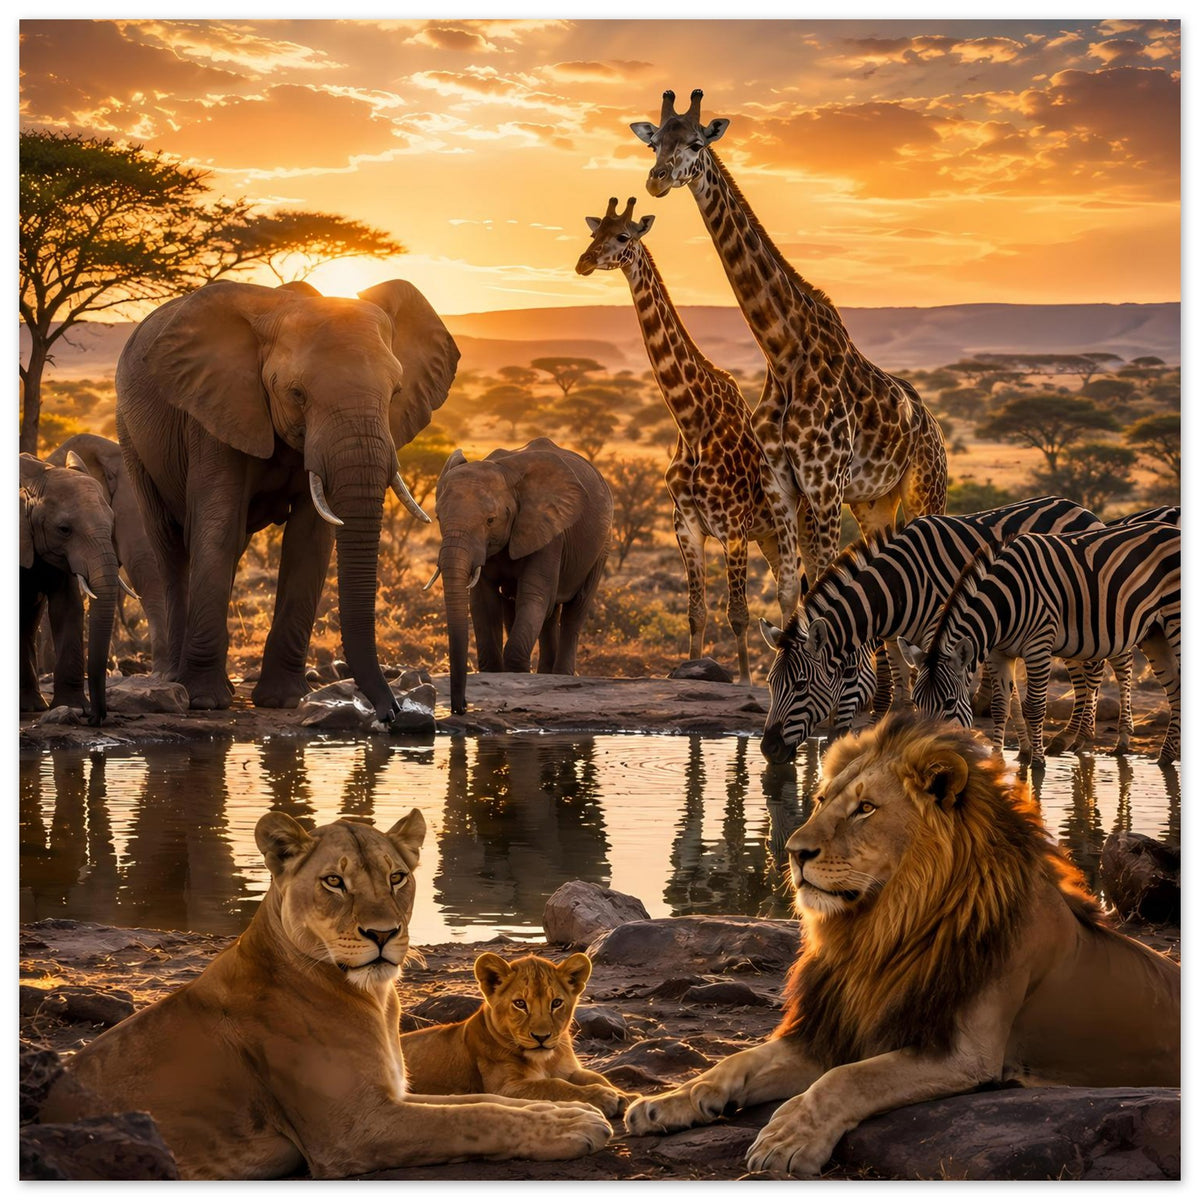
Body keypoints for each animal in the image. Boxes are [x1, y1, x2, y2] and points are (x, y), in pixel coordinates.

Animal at [758, 496, 1102, 762]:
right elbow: (902, 696)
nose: (768, 750)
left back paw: (1077, 738)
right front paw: (1026, 750)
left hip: (1078, 614)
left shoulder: (940, 632)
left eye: (801, 685)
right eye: (771, 683)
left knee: (1092, 671)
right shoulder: (897, 639)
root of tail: (1080, 507)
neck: (897, 586)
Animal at [909, 521, 1180, 766]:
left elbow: (1035, 707)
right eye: (915, 702)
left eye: (949, 703)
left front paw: (1037, 763)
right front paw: (997, 761)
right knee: (1174, 686)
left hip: (1173, 620)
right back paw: (1166, 757)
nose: (924, 754)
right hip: (1154, 633)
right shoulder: (998, 653)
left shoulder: (1038, 646)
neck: (1003, 604)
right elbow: (1000, 706)